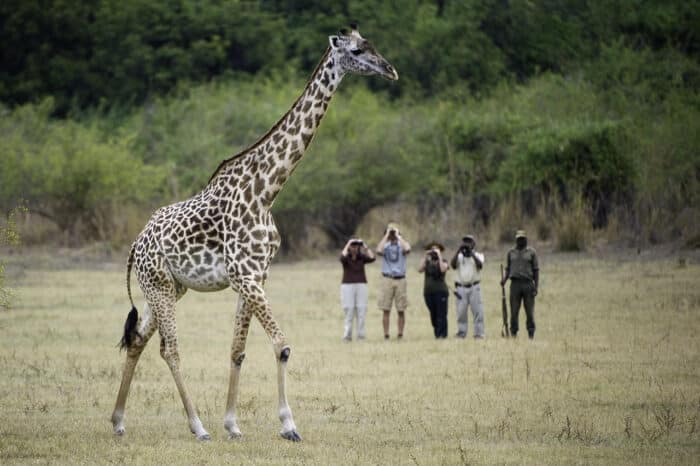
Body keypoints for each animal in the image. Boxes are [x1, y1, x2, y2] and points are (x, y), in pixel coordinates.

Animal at [108, 24, 394, 440]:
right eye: (357, 50)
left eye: (372, 45)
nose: (390, 71)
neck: (267, 191)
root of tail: (134, 244)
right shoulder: (245, 275)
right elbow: (282, 345)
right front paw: (288, 424)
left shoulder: (256, 275)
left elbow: (238, 350)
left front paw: (232, 424)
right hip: (159, 287)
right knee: (169, 349)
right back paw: (197, 426)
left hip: (166, 288)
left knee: (137, 341)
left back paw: (117, 421)